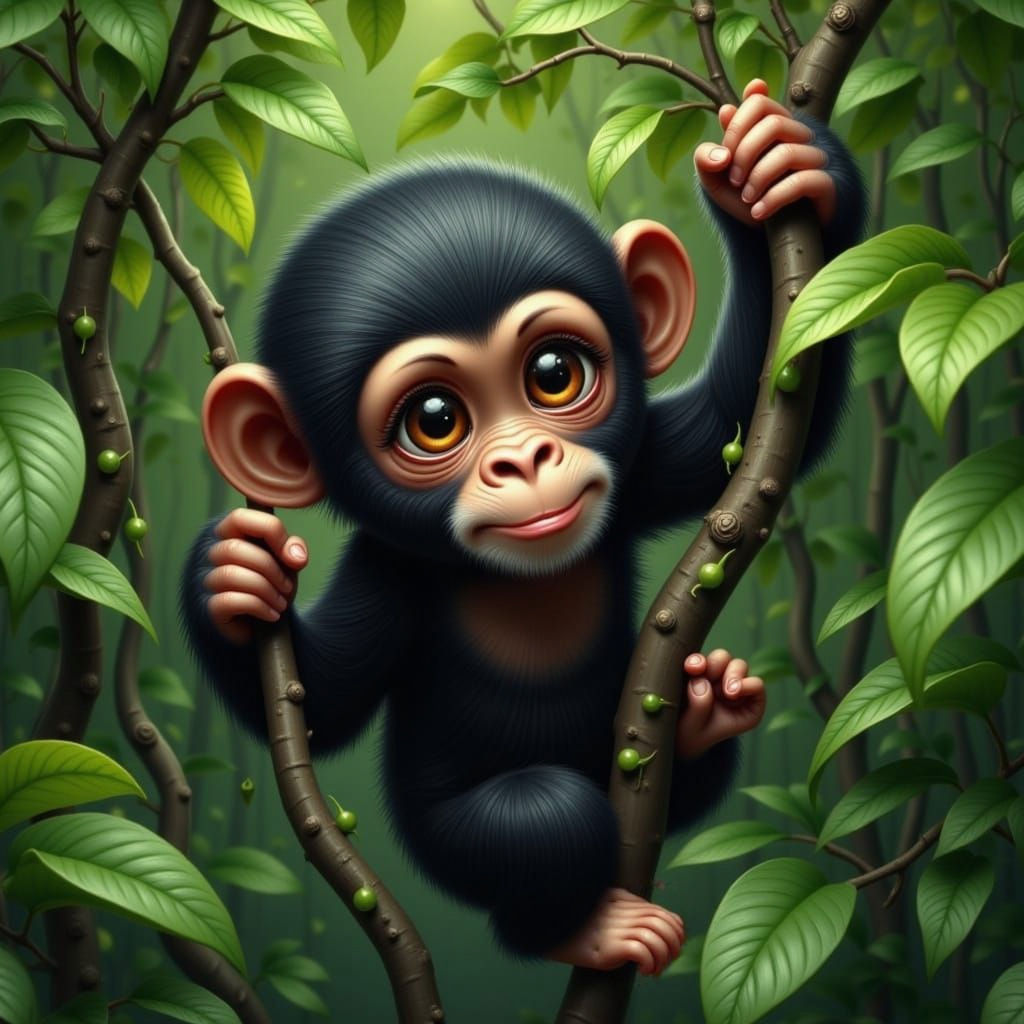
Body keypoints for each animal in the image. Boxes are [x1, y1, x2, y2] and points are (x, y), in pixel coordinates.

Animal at [181, 81, 864, 975]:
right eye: (435, 420)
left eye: (553, 373)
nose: (525, 459)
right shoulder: (387, 569)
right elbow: (326, 702)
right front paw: (233, 579)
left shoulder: (640, 469)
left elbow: (742, 414)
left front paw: (780, 164)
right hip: (444, 844)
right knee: (547, 821)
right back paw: (583, 928)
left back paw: (705, 715)